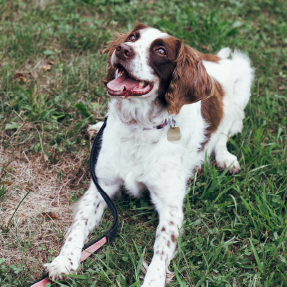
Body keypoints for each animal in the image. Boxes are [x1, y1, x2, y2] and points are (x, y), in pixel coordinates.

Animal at [44, 23, 254, 286]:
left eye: (161, 51)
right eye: (133, 37)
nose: (122, 49)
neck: (139, 126)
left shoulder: (170, 205)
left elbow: (161, 249)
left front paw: (153, 280)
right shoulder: (102, 185)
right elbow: (79, 225)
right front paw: (64, 261)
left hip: (243, 78)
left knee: (226, 129)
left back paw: (226, 158)